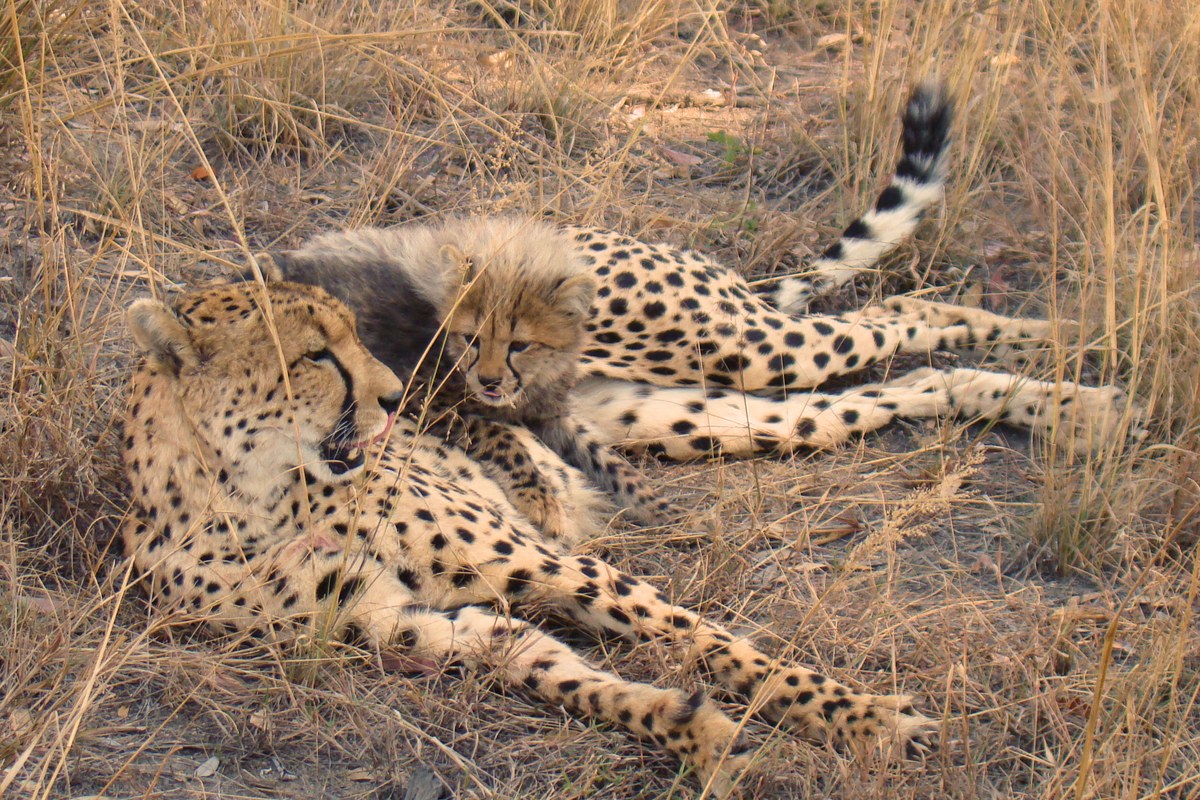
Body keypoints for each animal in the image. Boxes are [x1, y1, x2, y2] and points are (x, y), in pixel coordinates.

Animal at [120, 279, 938, 796]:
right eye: (314, 354)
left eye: (350, 336)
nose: (397, 397)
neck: (249, 494)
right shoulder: (394, 624)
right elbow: (551, 666)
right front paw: (694, 729)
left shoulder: (547, 562)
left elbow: (709, 642)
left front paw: (863, 720)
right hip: (684, 419)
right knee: (840, 405)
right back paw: (965, 383)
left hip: (735, 363)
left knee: (860, 347)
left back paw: (966, 345)